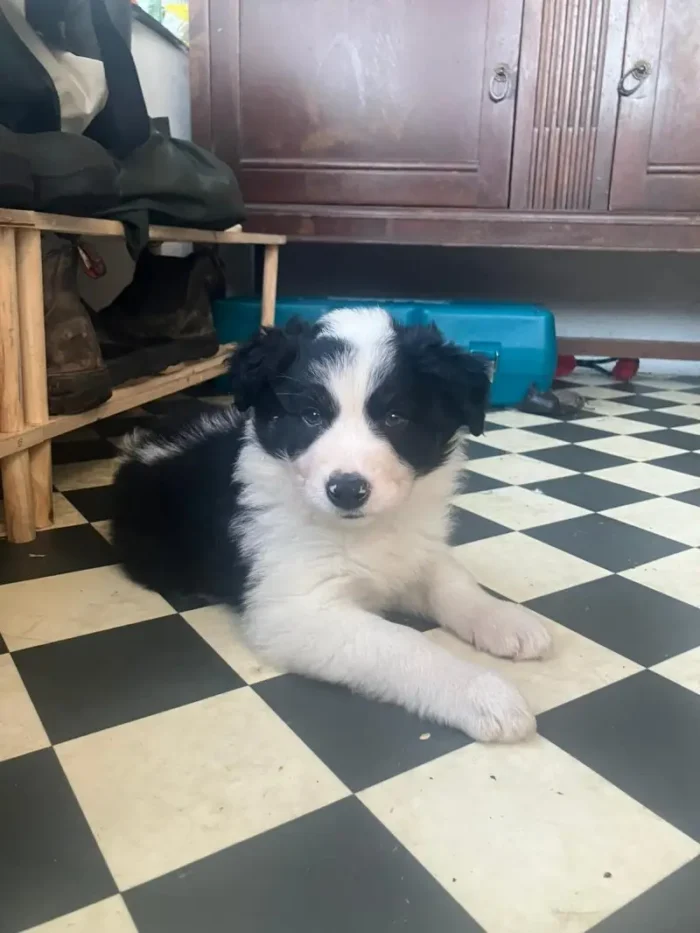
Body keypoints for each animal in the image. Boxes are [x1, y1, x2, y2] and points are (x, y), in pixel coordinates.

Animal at [113, 310, 552, 740]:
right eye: (311, 416)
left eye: (395, 417)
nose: (347, 490)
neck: (362, 531)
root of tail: (141, 445)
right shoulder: (296, 612)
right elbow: (400, 643)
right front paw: (483, 693)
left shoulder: (415, 550)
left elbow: (454, 583)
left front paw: (507, 621)